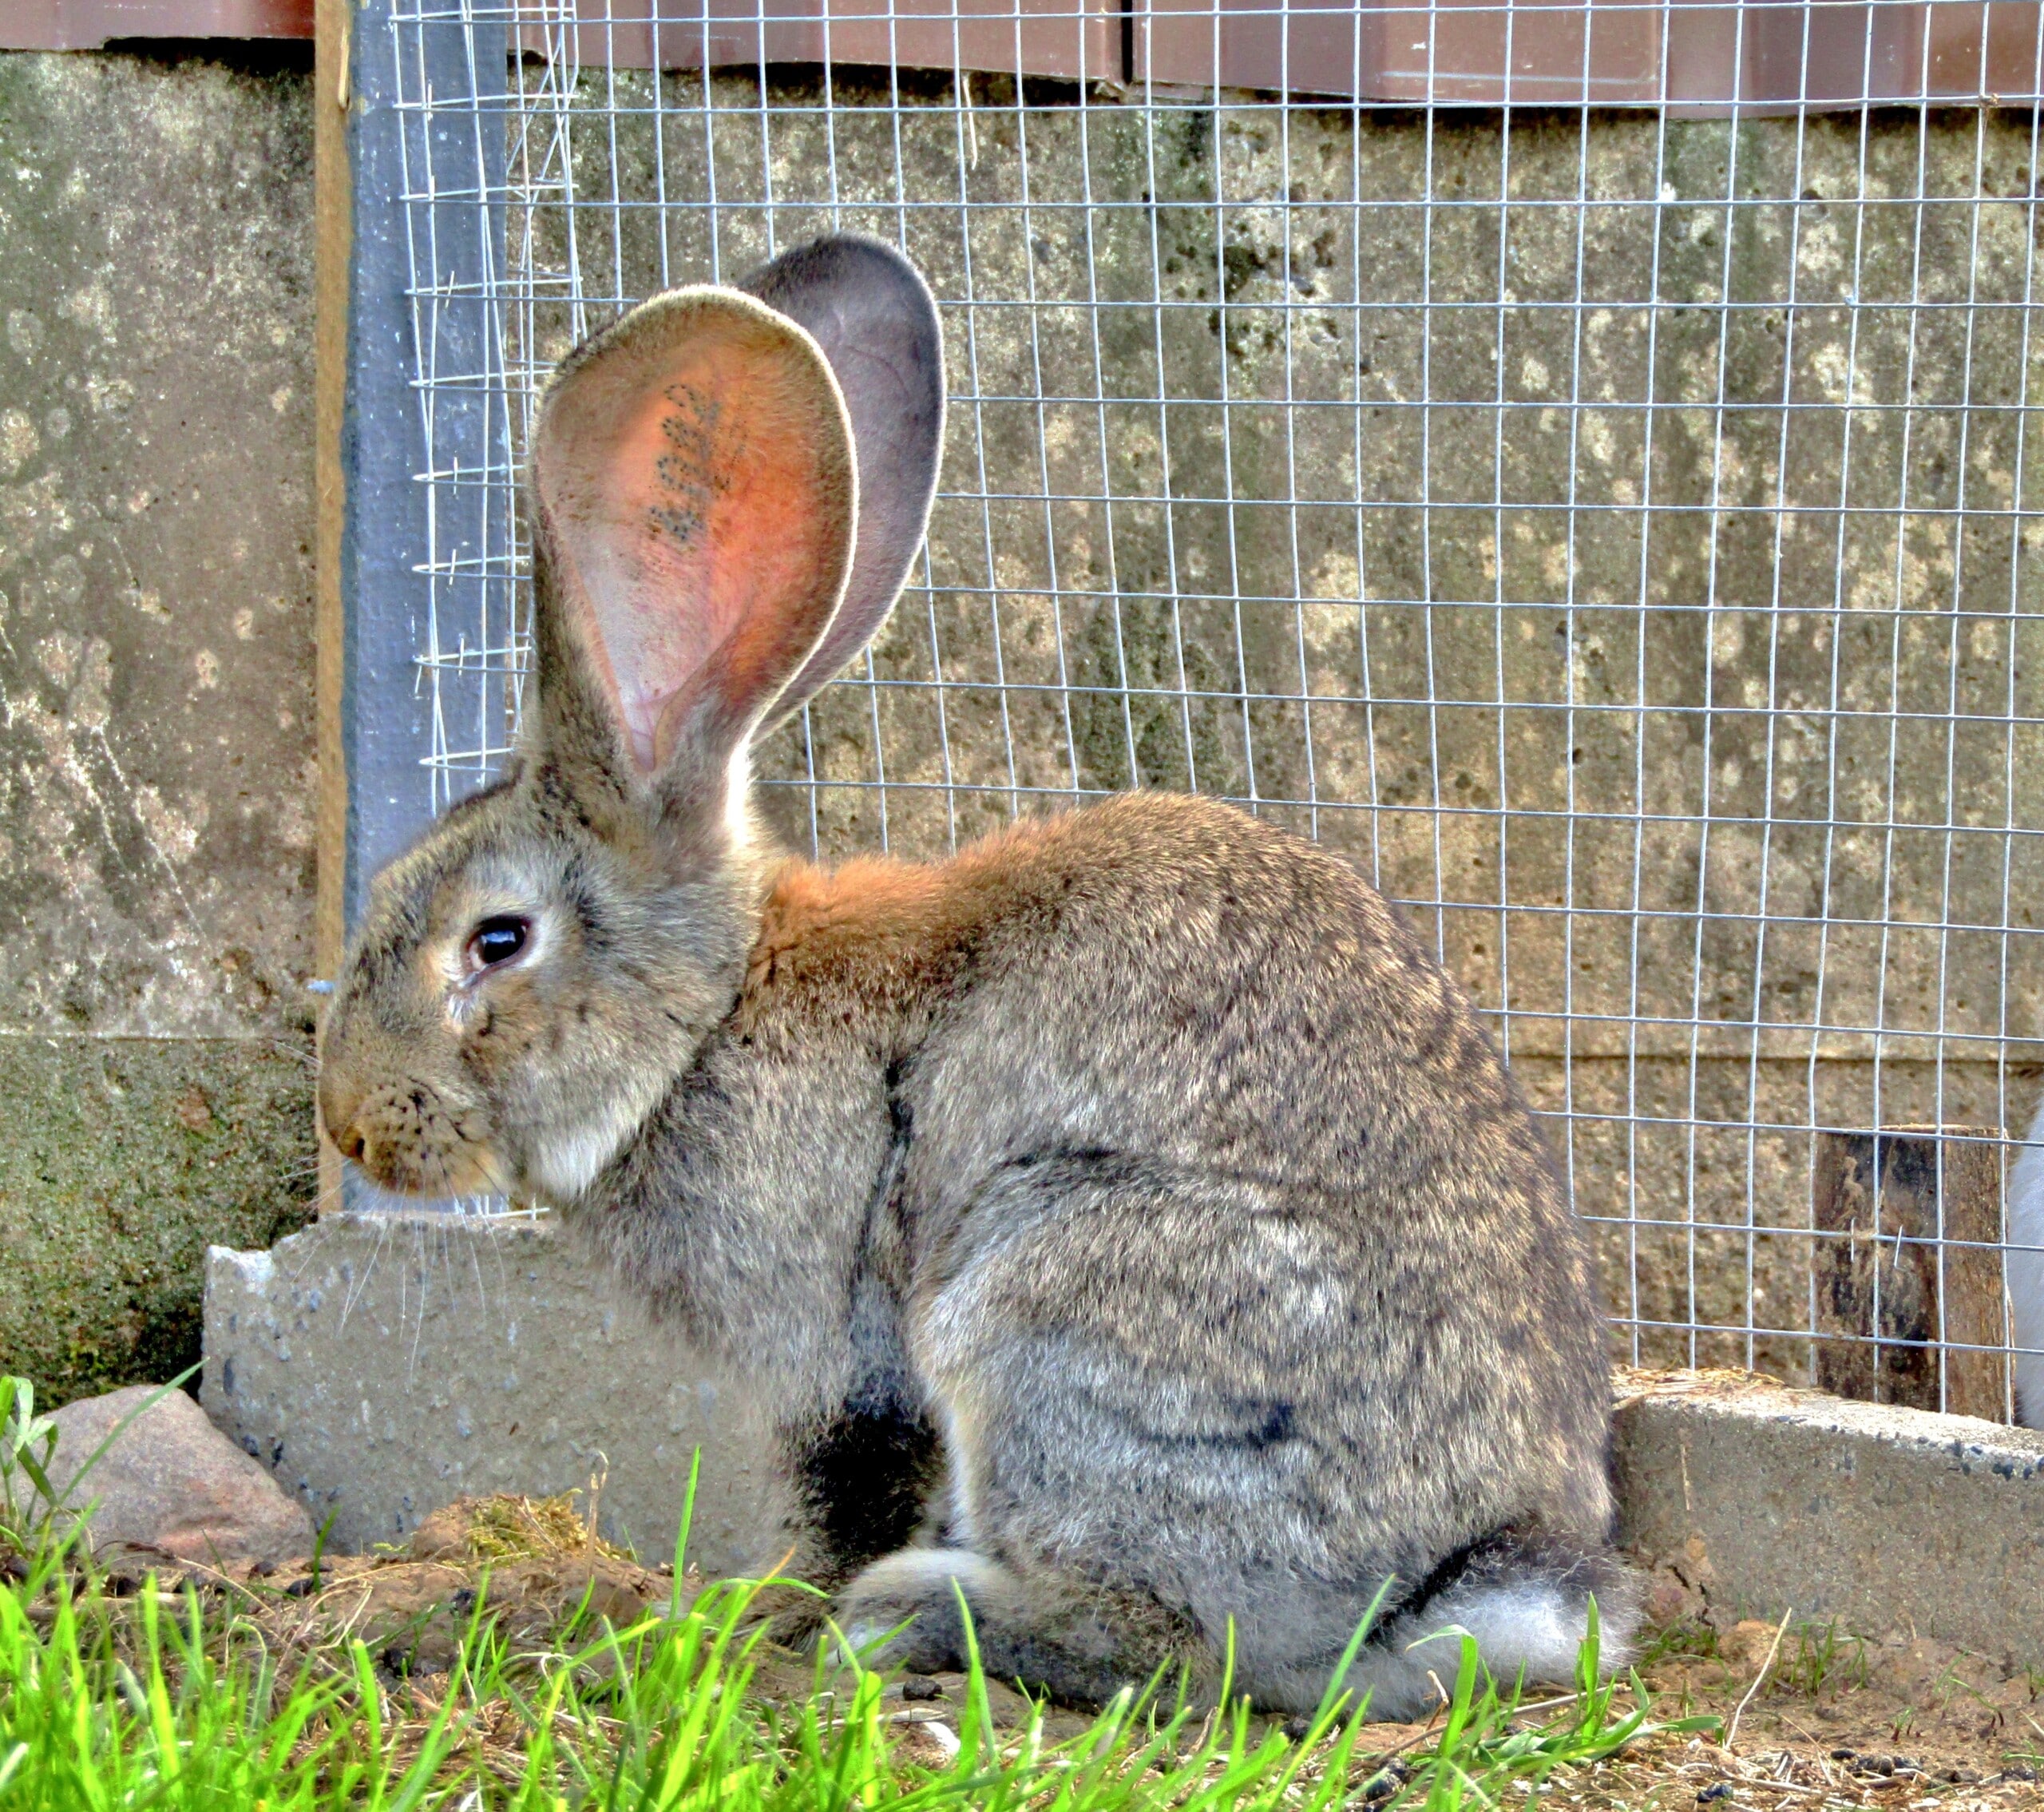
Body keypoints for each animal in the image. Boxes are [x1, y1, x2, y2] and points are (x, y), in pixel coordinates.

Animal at [319, 227, 1635, 1718]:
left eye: (496, 940)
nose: (349, 1120)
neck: (708, 1018)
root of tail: (1459, 1590)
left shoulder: (845, 1359)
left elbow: (836, 1500)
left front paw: (739, 1622)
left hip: (1049, 1306)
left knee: (1181, 1639)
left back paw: (921, 1617)